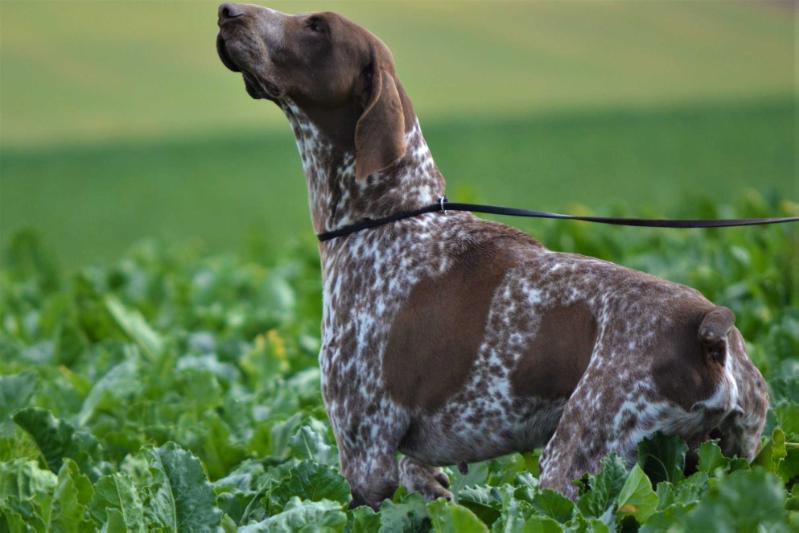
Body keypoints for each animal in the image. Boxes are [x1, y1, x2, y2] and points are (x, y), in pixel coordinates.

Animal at [217, 2, 768, 504]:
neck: (390, 217)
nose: (227, 11)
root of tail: (709, 333)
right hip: (728, 459)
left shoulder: (366, 459)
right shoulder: (417, 472)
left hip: (573, 458)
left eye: (317, 26)